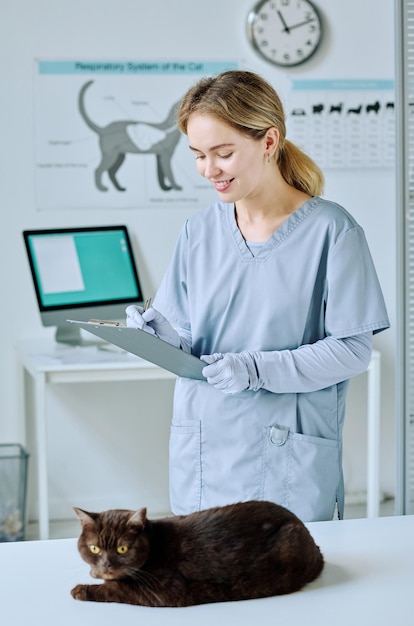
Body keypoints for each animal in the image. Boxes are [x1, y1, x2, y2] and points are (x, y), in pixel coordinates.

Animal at [70, 498, 324, 604]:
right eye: (94, 548)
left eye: (122, 548)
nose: (107, 565)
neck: (153, 544)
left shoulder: (164, 590)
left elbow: (116, 588)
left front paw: (82, 589)